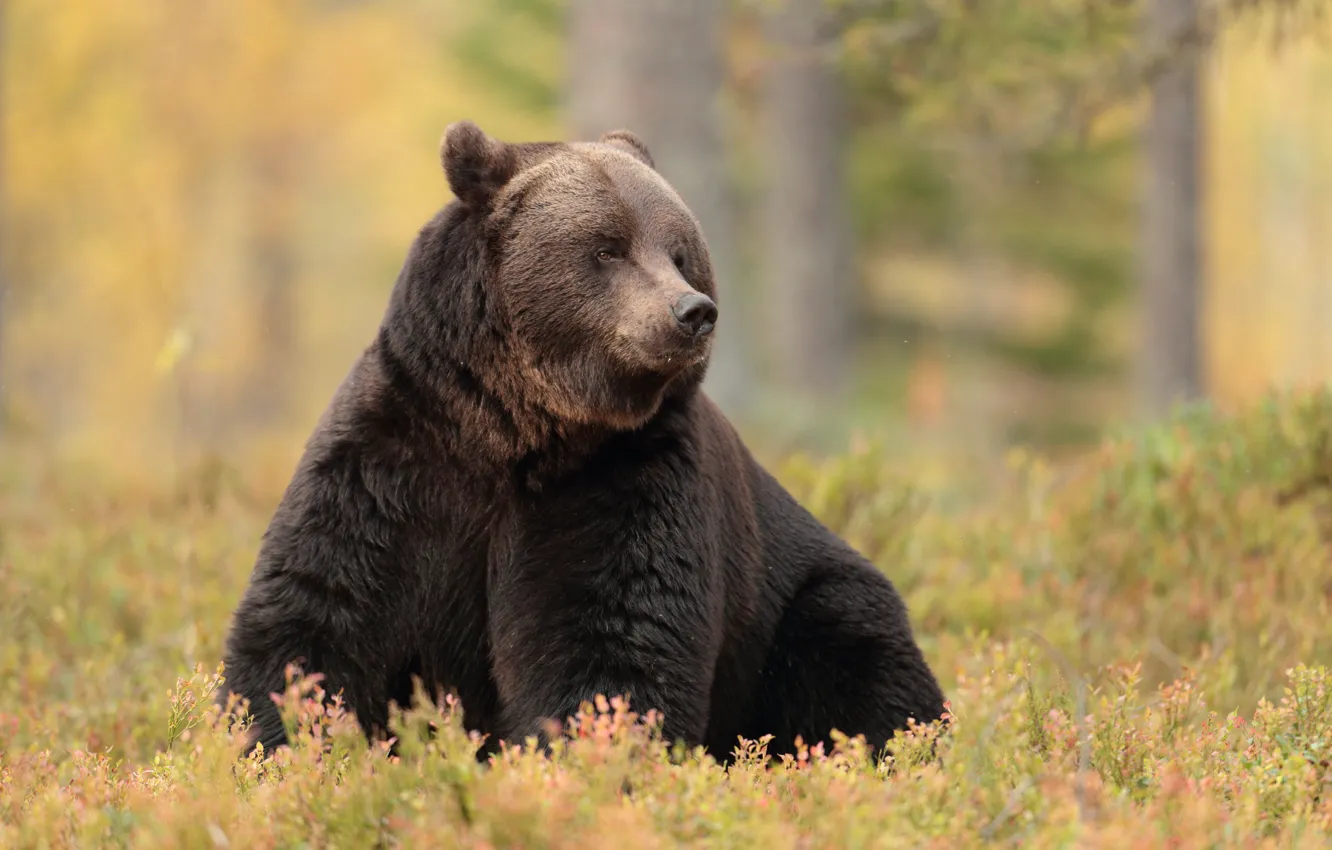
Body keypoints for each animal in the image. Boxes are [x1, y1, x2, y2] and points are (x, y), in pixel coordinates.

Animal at [217, 120, 946, 764]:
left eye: (681, 252)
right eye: (607, 247)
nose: (693, 312)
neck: (518, 426)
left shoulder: (627, 479)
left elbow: (609, 644)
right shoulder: (396, 456)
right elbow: (317, 613)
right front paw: (276, 744)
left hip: (809, 602)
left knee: (862, 669)